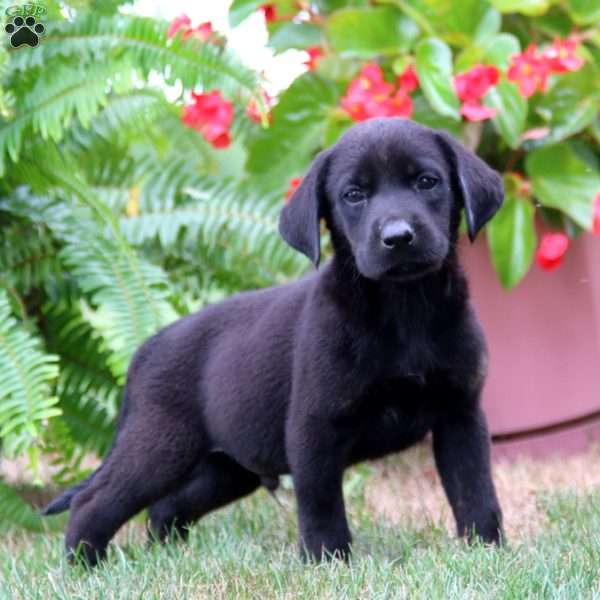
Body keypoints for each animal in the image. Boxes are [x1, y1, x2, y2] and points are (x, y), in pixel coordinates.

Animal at [44, 116, 506, 564]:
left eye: (427, 181)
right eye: (354, 195)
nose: (398, 237)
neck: (404, 309)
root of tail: (145, 347)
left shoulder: (460, 415)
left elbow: (475, 493)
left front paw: (487, 554)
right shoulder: (313, 427)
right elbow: (321, 505)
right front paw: (327, 561)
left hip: (225, 469)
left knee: (165, 508)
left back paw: (168, 554)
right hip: (161, 445)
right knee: (94, 501)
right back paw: (83, 565)